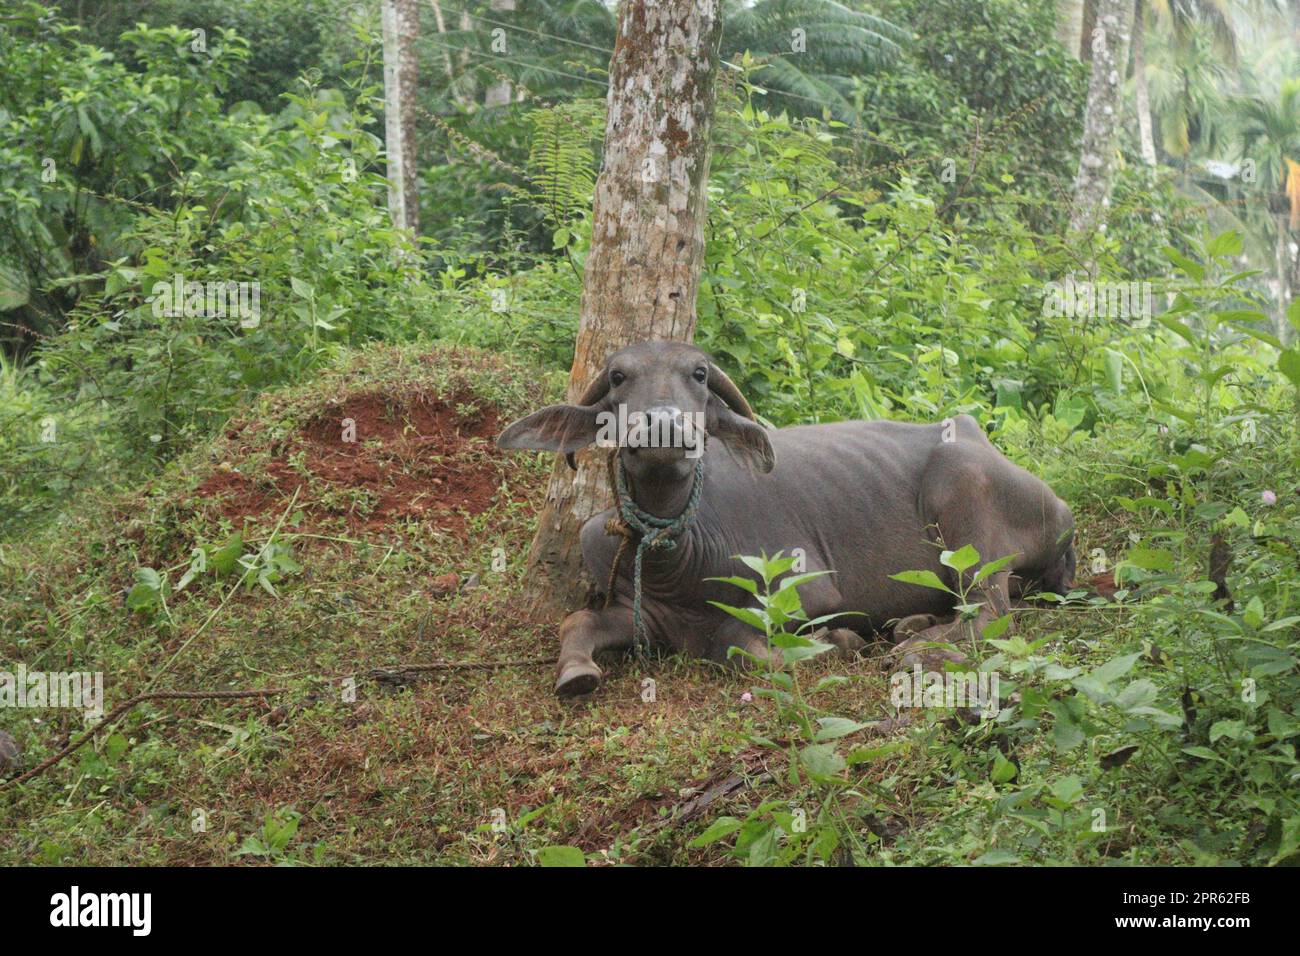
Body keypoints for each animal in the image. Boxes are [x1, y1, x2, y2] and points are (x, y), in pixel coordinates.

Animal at [491, 343, 1071, 697]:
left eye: (698, 374)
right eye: (617, 376)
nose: (662, 426)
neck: (681, 559)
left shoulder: (807, 589)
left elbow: (735, 642)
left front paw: (840, 641)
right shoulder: (642, 612)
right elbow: (577, 621)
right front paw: (576, 672)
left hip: (963, 501)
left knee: (991, 610)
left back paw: (915, 649)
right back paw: (913, 625)